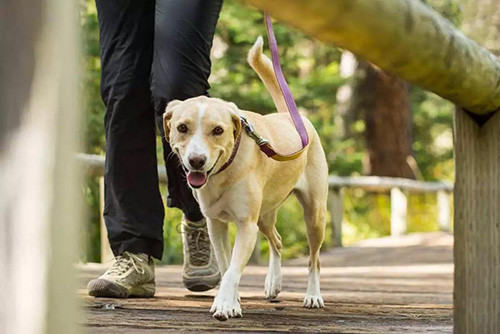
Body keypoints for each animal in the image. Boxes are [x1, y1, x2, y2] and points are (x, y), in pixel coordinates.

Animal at [162, 37, 330, 320]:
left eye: (218, 130)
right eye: (182, 128)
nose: (197, 161)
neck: (223, 172)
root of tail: (292, 117)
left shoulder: (246, 225)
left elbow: (232, 270)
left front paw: (225, 304)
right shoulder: (216, 225)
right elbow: (226, 265)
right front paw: (233, 299)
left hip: (314, 215)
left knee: (315, 259)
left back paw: (313, 295)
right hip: (264, 215)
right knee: (277, 241)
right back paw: (273, 282)